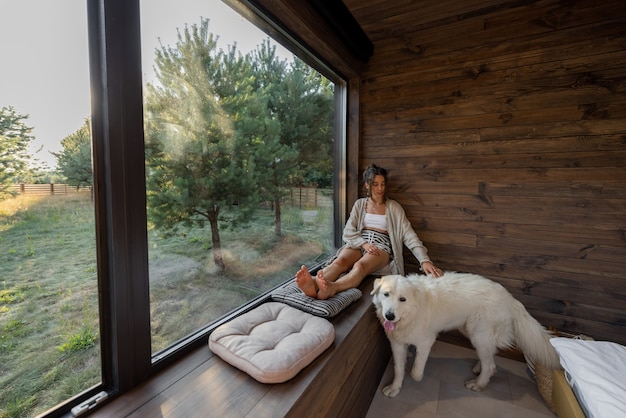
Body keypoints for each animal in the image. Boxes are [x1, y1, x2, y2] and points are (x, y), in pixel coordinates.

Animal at [368, 272, 560, 396]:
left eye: (402, 299)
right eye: (386, 294)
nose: (389, 316)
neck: (410, 315)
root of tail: (510, 298)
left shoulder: (426, 342)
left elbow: (415, 372)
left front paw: (416, 375)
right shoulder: (397, 344)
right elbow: (398, 369)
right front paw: (394, 388)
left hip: (478, 334)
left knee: (490, 365)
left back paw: (478, 384)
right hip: (472, 332)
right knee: (489, 357)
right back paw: (479, 367)